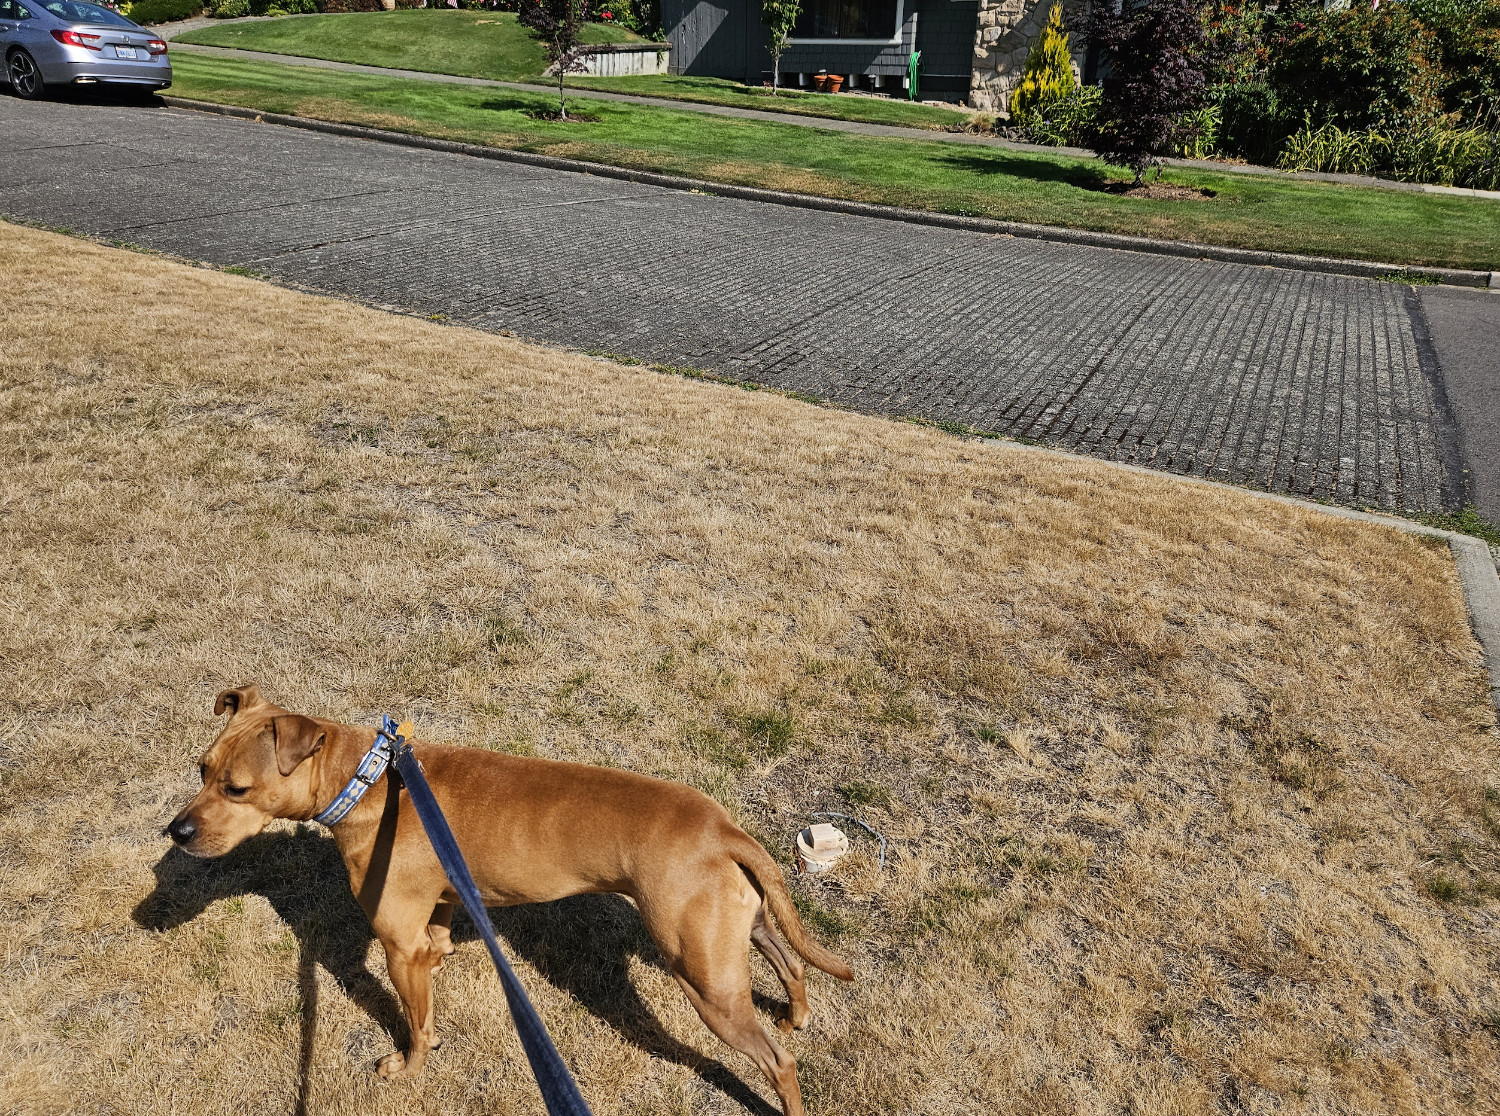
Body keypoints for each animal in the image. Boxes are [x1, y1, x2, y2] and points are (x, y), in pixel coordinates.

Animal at [165, 684, 858, 1110]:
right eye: (201, 769)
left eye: (236, 787)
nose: (176, 831)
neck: (362, 779)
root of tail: (723, 829)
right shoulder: (433, 920)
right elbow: (438, 953)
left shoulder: (396, 945)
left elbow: (416, 1025)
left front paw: (407, 1071)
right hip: (736, 932)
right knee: (789, 964)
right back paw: (795, 1013)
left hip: (703, 978)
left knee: (777, 1060)